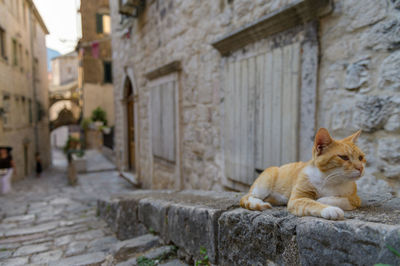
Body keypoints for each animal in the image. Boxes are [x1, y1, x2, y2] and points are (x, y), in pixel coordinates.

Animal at [239, 128, 368, 219]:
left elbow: (342, 199)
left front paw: (324, 199)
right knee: (246, 197)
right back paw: (260, 203)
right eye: (344, 157)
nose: (360, 168)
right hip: (264, 184)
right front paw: (330, 209)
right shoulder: (297, 198)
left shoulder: (355, 199)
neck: (330, 179)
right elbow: (311, 203)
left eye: (360, 158)